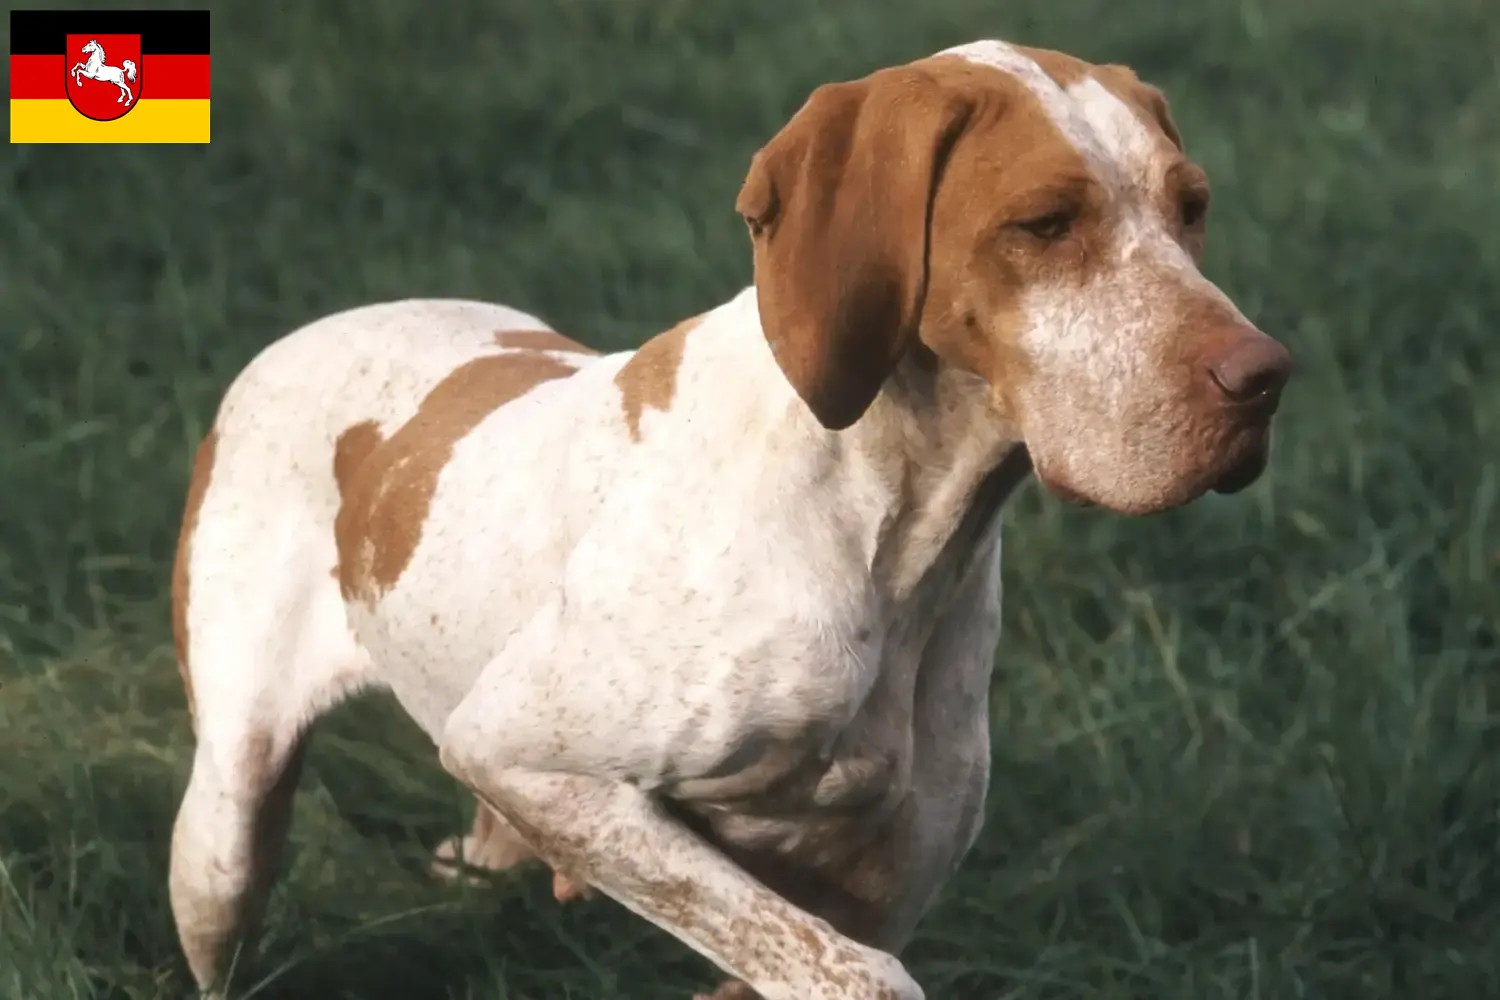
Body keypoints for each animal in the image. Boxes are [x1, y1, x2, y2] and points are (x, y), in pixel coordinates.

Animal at [167, 37, 1290, 1000]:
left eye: (1191, 208)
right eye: (1046, 223)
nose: (1266, 379)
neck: (884, 526)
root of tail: (298, 335)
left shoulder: (882, 875)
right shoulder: (525, 754)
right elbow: (857, 971)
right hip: (223, 845)